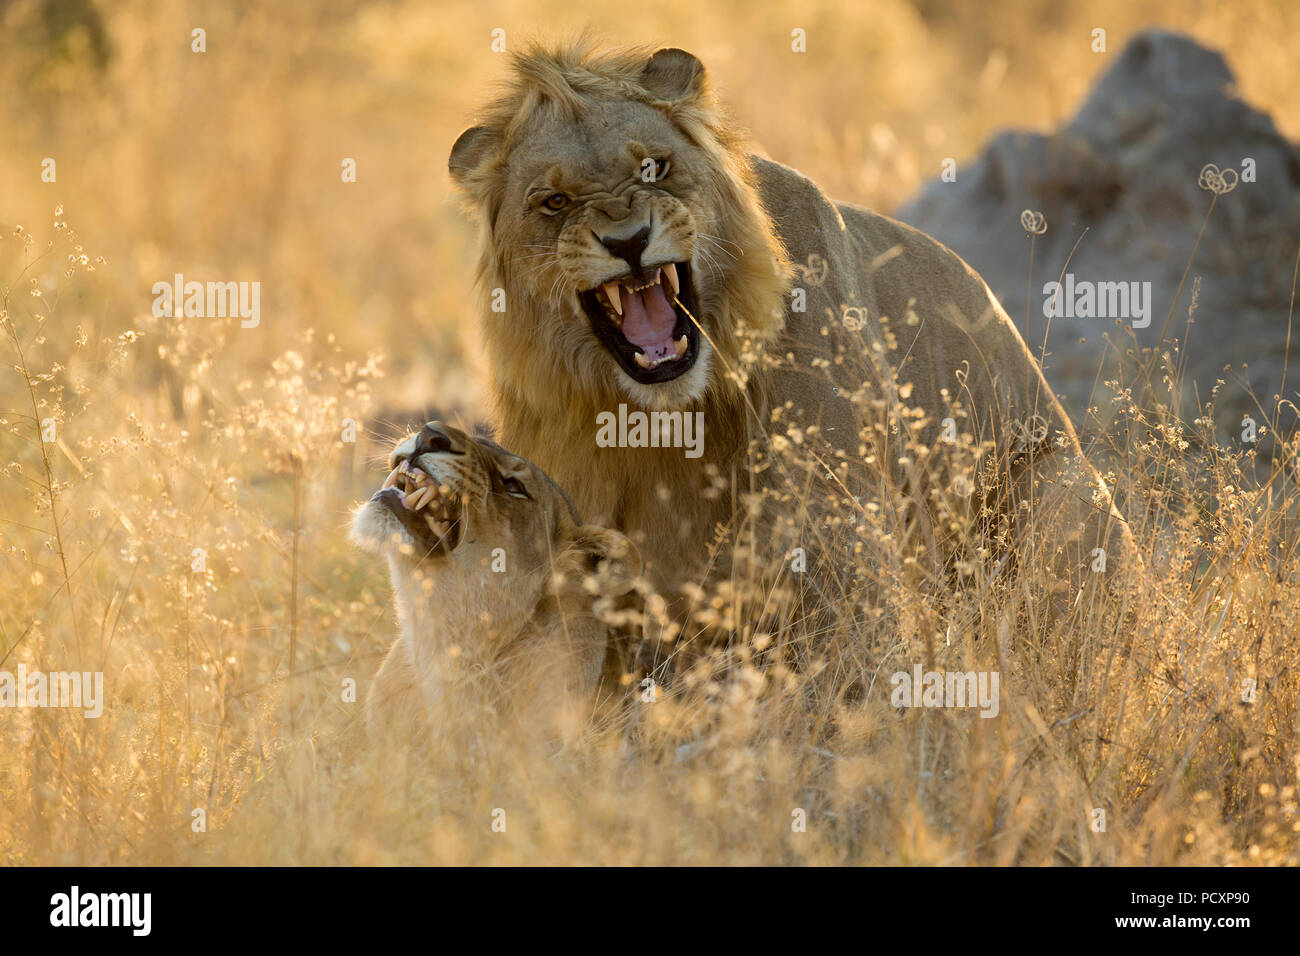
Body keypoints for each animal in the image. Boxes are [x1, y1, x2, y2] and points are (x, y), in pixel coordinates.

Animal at [449, 39, 1138, 613]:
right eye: (554, 202)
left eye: (654, 170)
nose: (628, 241)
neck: (665, 419)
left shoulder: (839, 535)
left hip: (1063, 483)